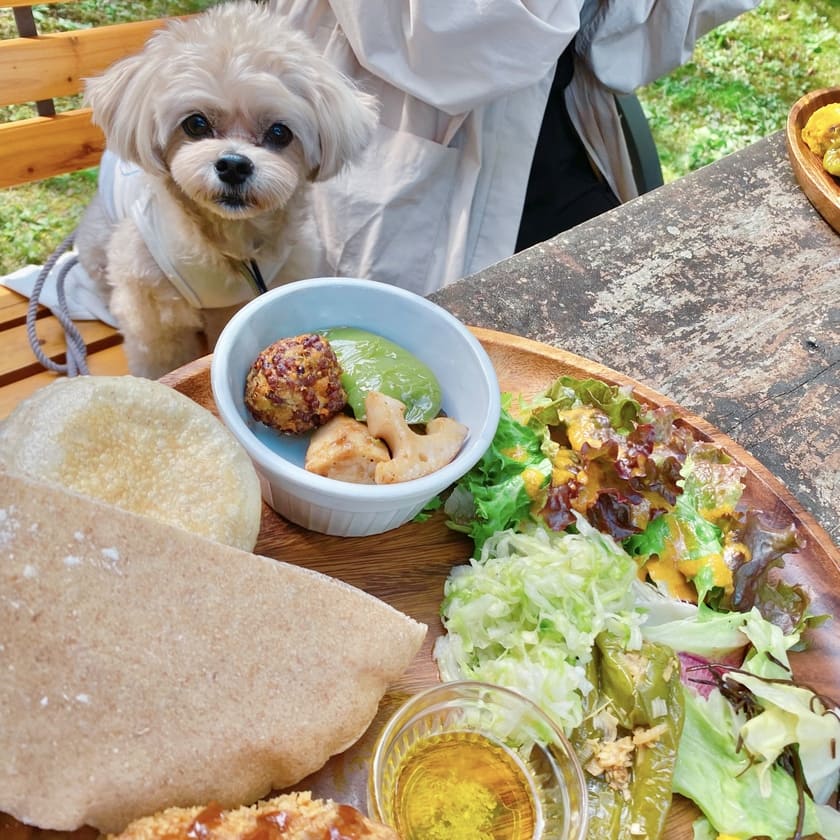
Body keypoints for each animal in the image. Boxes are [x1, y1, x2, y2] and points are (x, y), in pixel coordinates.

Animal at [75, 0, 378, 374]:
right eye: (195, 123)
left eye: (280, 133)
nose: (234, 165)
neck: (230, 240)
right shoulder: (154, 316)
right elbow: (160, 360)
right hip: (99, 239)